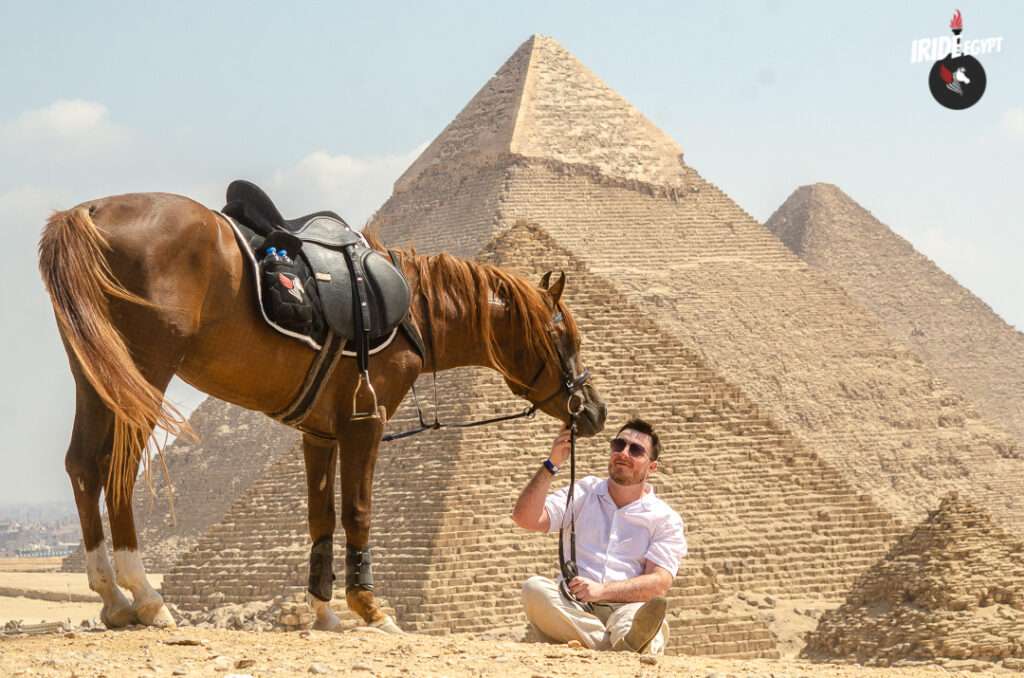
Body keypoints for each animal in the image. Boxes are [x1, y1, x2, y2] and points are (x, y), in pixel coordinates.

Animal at [38, 192, 607, 632]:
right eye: (568, 337)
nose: (594, 412)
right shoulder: (365, 422)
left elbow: (320, 517)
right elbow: (359, 511)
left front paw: (323, 611)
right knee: (119, 470)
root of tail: (89, 210)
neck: (416, 311)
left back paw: (112, 597)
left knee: (83, 464)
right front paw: (371, 608)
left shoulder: (319, 431)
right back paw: (146, 596)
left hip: (92, 371)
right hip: (145, 372)